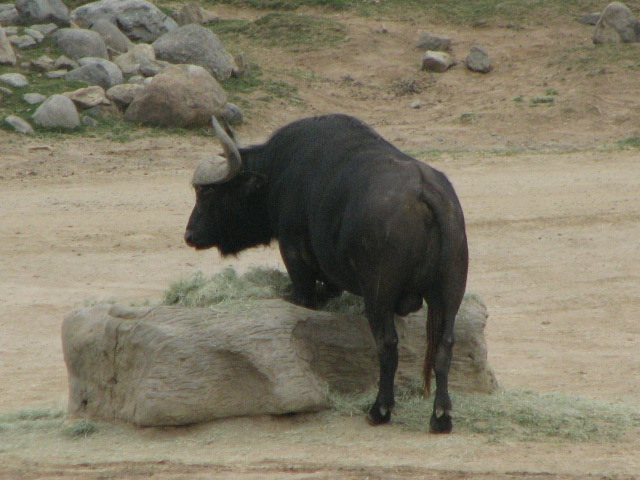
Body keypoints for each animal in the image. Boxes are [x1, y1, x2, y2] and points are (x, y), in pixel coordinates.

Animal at [184, 114, 468, 433]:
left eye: (208, 192)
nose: (190, 234)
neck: (277, 172)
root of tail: (424, 191)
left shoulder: (296, 259)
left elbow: (305, 299)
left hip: (379, 295)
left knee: (387, 345)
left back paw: (379, 410)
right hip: (449, 295)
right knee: (444, 346)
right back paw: (441, 416)